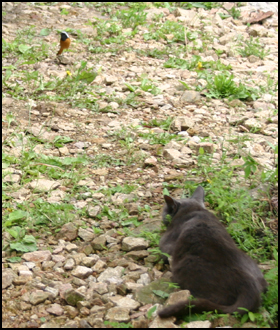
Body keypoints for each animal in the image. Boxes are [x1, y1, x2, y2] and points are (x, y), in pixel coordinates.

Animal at [159, 186, 268, 318]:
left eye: (165, 210)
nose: (162, 215)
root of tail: (251, 287)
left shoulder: (165, 245)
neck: (193, 210)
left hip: (187, 263)